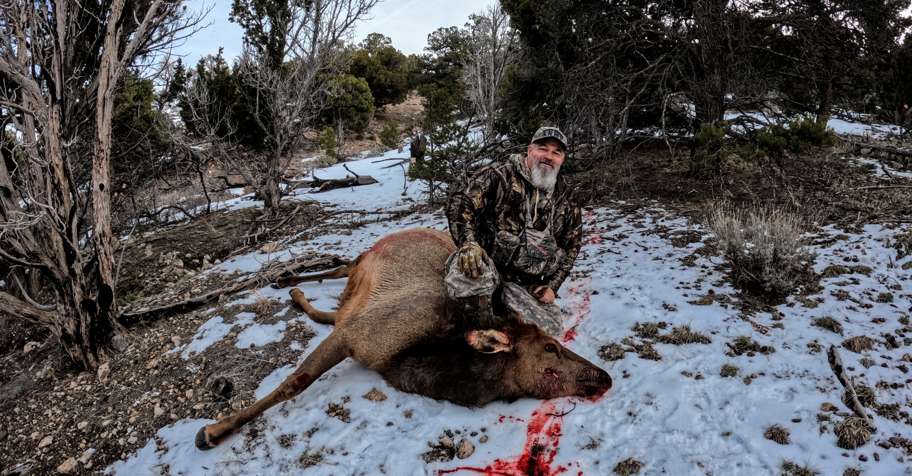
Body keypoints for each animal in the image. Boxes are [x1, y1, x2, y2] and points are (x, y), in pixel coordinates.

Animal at [195, 228, 612, 450]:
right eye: (550, 348)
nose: (604, 376)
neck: (407, 359)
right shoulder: (354, 334)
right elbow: (294, 383)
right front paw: (214, 431)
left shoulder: (353, 331)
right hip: (364, 263)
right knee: (342, 263)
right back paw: (286, 278)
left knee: (333, 296)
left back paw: (296, 293)